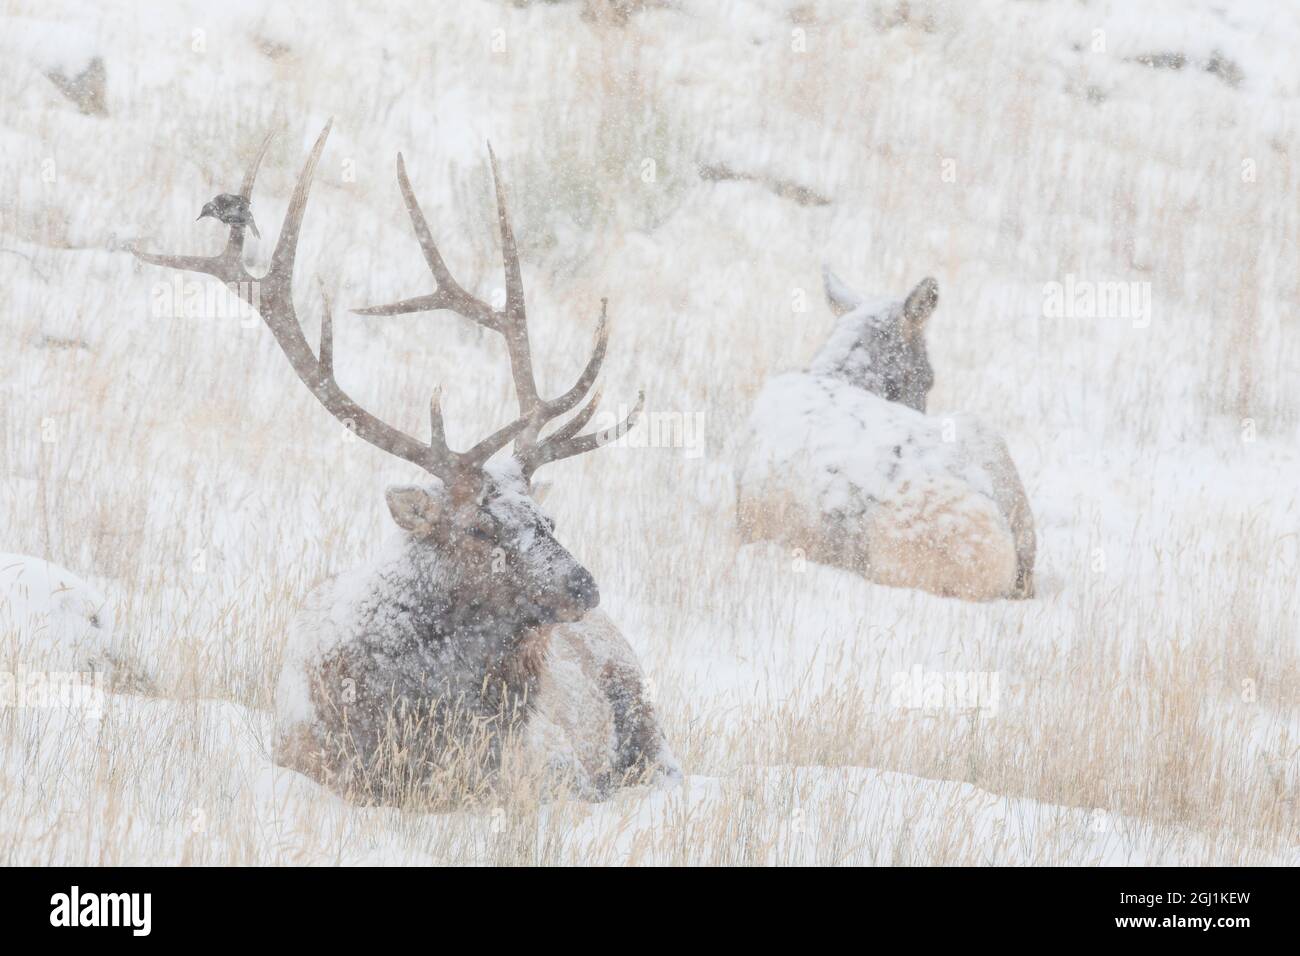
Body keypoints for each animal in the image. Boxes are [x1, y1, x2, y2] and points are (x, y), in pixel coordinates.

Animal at [133, 121, 679, 804]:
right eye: (479, 528)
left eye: (547, 520)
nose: (584, 584)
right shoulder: (304, 755)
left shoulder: (551, 767)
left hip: (638, 695)